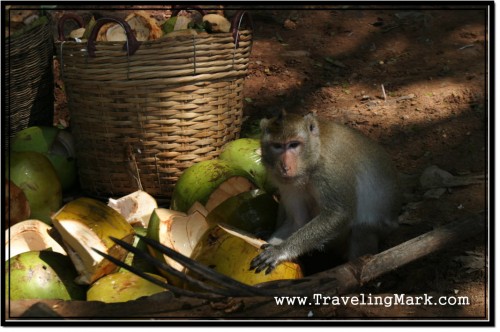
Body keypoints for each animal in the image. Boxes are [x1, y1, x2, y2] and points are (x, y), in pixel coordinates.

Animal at [250, 110, 402, 274]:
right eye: (277, 146)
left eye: (294, 144)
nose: (284, 167)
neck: (311, 161)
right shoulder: (289, 184)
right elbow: (297, 221)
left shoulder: (330, 168)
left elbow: (339, 213)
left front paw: (279, 251)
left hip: (383, 228)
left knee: (362, 230)